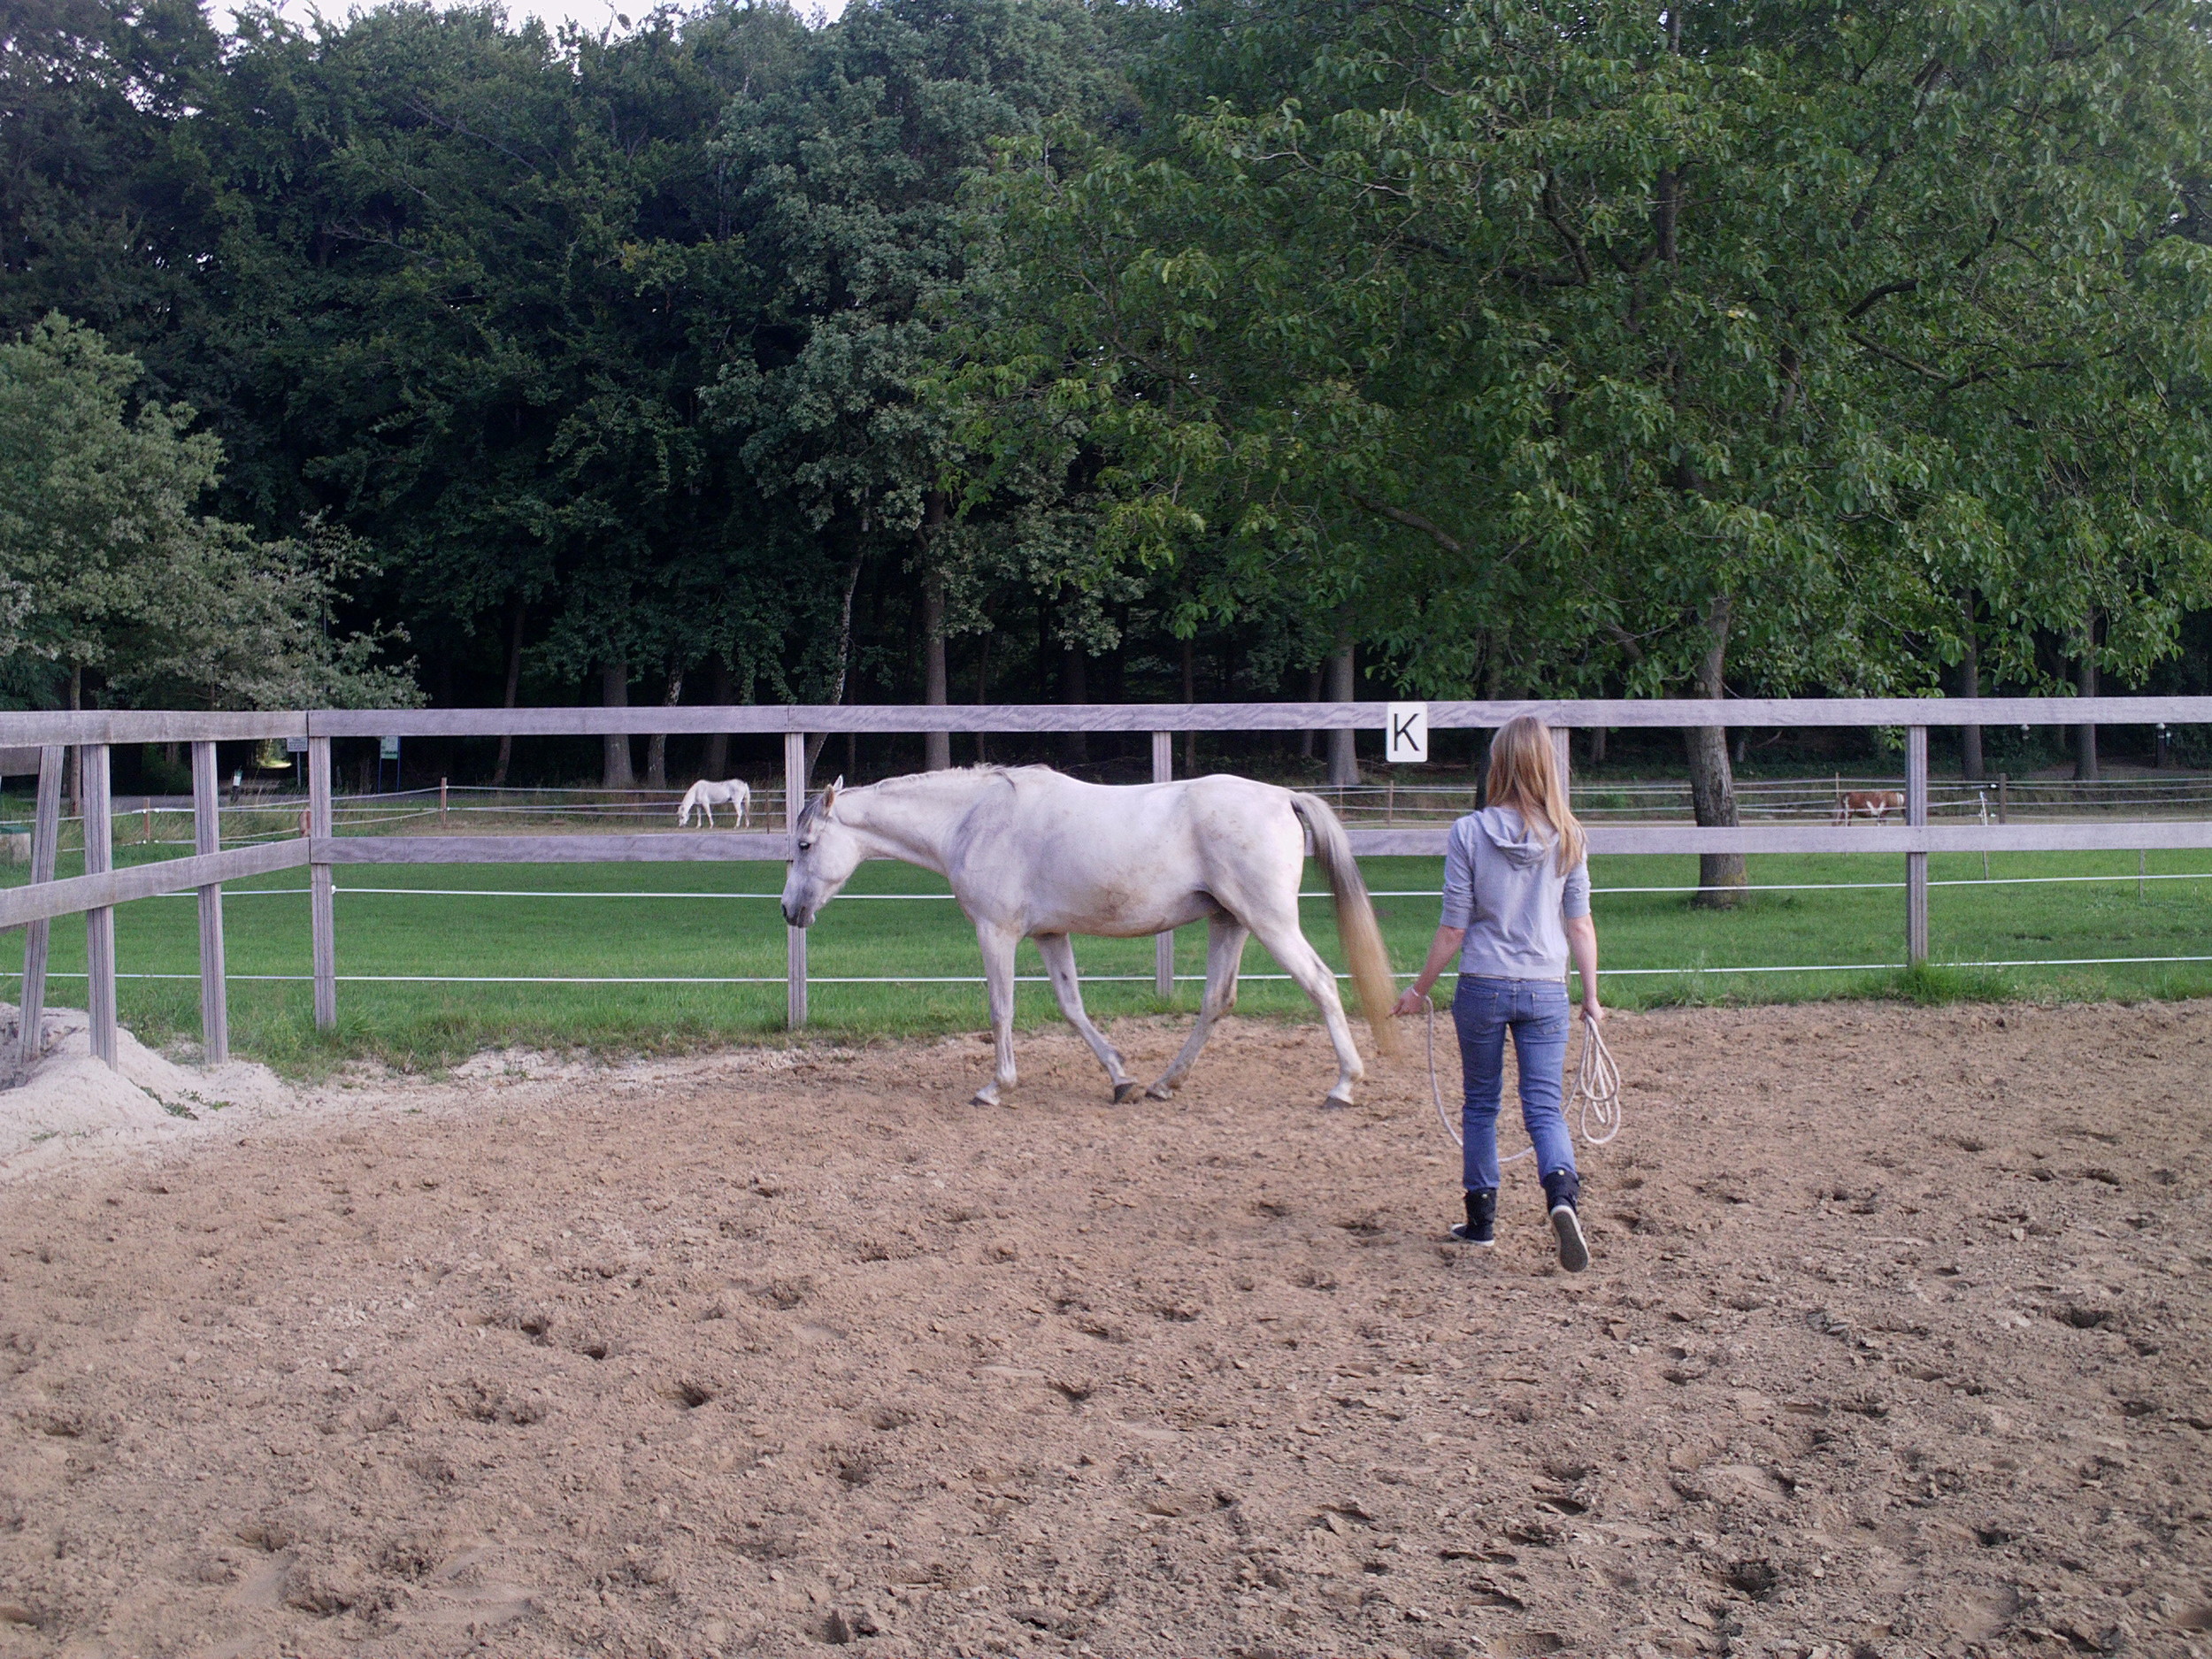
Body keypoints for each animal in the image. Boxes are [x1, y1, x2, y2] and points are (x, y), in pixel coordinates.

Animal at [783, 765, 1398, 1106]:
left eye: (805, 845)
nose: (790, 910)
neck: (974, 820)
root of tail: (1282, 797)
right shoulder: (1050, 934)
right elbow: (1072, 1007)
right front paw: (1121, 1078)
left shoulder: (996, 932)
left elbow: (1001, 1011)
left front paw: (995, 1087)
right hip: (1231, 922)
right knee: (1217, 1001)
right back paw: (1163, 1084)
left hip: (1270, 921)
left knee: (1321, 983)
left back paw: (1343, 1086)